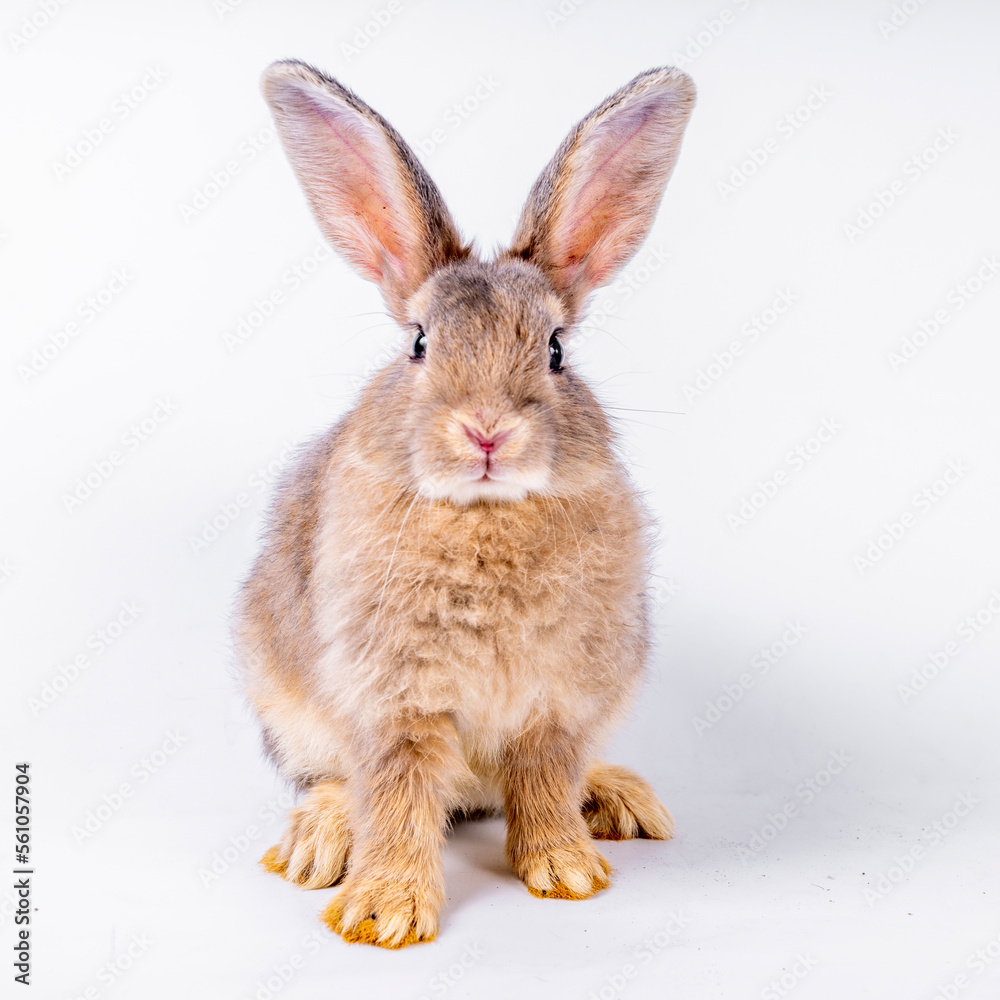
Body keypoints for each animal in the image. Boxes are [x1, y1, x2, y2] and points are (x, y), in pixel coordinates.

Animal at [235, 59, 696, 949]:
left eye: (555, 351)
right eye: (419, 344)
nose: (487, 432)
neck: (485, 517)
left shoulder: (556, 705)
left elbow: (545, 783)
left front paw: (568, 871)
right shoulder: (398, 702)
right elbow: (400, 796)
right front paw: (383, 913)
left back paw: (618, 800)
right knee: (333, 781)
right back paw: (316, 844)